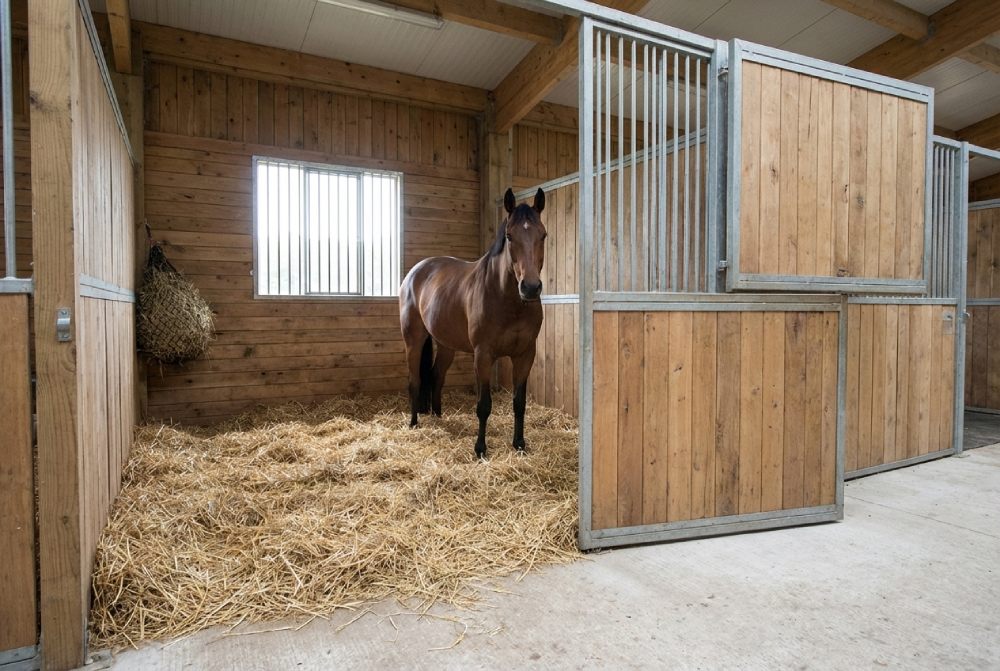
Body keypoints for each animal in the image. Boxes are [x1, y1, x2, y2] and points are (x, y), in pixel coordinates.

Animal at [399, 187, 547, 458]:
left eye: (543, 235)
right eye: (509, 236)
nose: (530, 288)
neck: (506, 300)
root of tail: (415, 272)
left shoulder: (525, 355)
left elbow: (519, 403)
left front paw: (519, 444)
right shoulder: (483, 355)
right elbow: (484, 405)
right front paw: (480, 449)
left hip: (445, 344)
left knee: (436, 376)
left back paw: (438, 417)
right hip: (413, 340)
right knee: (414, 381)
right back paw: (414, 423)